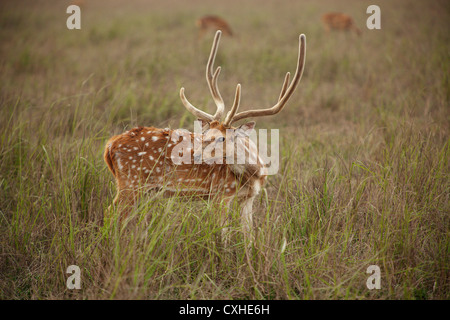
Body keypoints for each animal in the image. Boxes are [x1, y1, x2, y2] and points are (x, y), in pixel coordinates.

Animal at [103, 31, 306, 242]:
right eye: (206, 133)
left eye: (222, 138)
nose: (195, 155)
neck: (253, 174)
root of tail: (109, 145)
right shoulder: (220, 193)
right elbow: (223, 235)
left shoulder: (249, 198)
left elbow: (248, 236)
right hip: (130, 182)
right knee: (111, 213)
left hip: (144, 189)